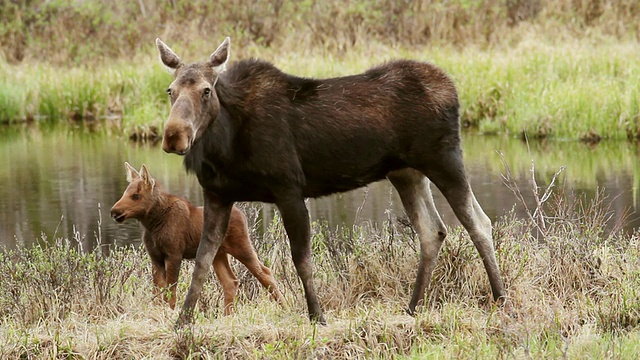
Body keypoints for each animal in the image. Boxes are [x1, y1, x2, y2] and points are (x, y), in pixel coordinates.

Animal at [111, 162, 282, 314]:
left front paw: (170, 313)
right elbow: (158, 292)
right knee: (231, 282)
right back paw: (227, 316)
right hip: (218, 254)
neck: (152, 224)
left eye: (136, 196)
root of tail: (243, 215)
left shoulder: (174, 254)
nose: (114, 211)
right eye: (125, 193)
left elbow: (171, 291)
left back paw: (285, 306)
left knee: (265, 272)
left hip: (241, 245)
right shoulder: (155, 256)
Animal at [154, 37, 504, 326]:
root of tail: (452, 88)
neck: (223, 146)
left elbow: (301, 258)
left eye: (206, 90)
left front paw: (317, 316)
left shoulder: (289, 189)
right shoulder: (217, 194)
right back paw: (412, 308)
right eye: (170, 91)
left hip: (443, 158)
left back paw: (500, 299)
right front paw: (182, 321)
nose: (174, 135)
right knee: (433, 231)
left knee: (478, 221)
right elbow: (202, 259)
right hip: (406, 173)